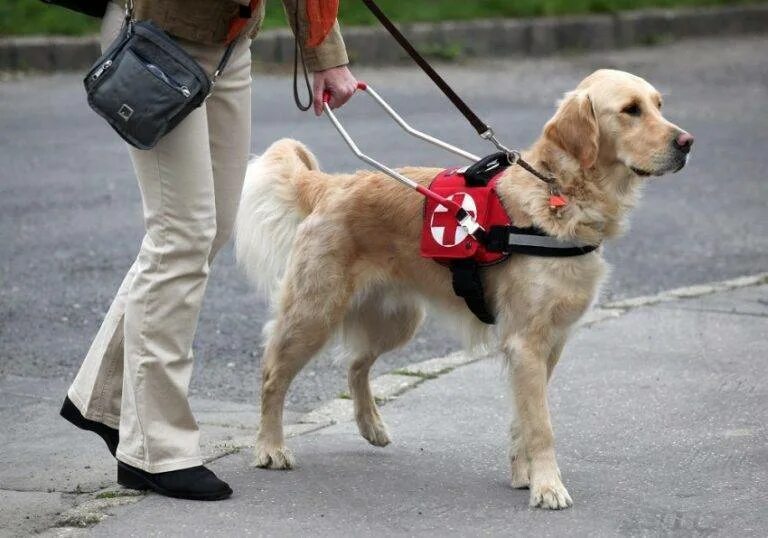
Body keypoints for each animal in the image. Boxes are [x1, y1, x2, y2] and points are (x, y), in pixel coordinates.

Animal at [232, 69, 688, 508]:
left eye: (659, 105)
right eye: (630, 110)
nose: (687, 142)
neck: (560, 192)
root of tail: (333, 183)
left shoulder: (550, 343)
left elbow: (522, 419)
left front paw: (524, 475)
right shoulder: (527, 341)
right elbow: (541, 425)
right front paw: (548, 487)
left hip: (398, 320)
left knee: (355, 363)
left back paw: (370, 425)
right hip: (314, 313)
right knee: (273, 375)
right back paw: (270, 447)